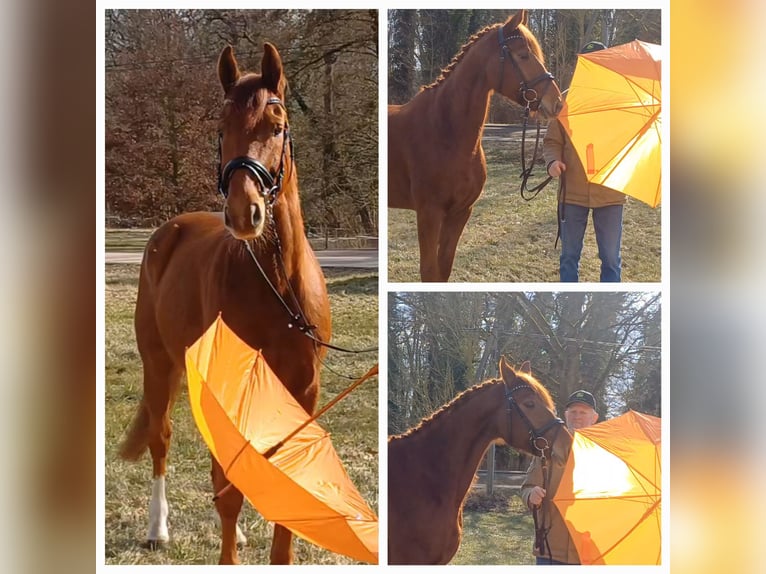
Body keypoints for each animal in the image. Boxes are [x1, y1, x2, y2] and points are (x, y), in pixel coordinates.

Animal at [117, 43, 332, 565]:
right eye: (221, 129)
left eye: (276, 125)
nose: (242, 213)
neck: (278, 286)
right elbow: (228, 486)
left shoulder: (303, 391)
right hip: (159, 364)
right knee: (161, 439)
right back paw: (158, 530)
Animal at [388, 10, 563, 282]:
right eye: (523, 55)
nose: (556, 102)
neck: (445, 132)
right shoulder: (429, 213)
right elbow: (429, 271)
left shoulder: (460, 212)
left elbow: (443, 269)